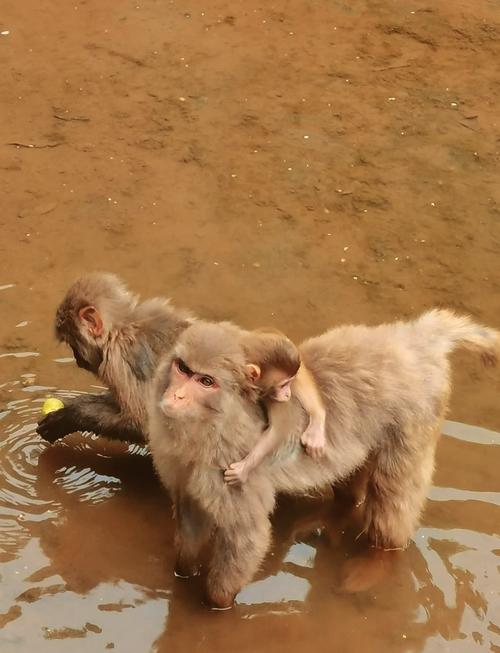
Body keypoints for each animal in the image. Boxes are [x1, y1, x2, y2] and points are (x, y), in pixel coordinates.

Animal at [36, 270, 192, 444]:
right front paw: (75, 403)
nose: (76, 358)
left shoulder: (119, 361)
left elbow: (142, 426)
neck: (120, 330)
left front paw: (68, 418)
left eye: (72, 343)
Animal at [224, 328, 326, 486]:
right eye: (283, 385)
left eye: (289, 383)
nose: (288, 395)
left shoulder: (269, 394)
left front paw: (245, 468)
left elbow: (277, 429)